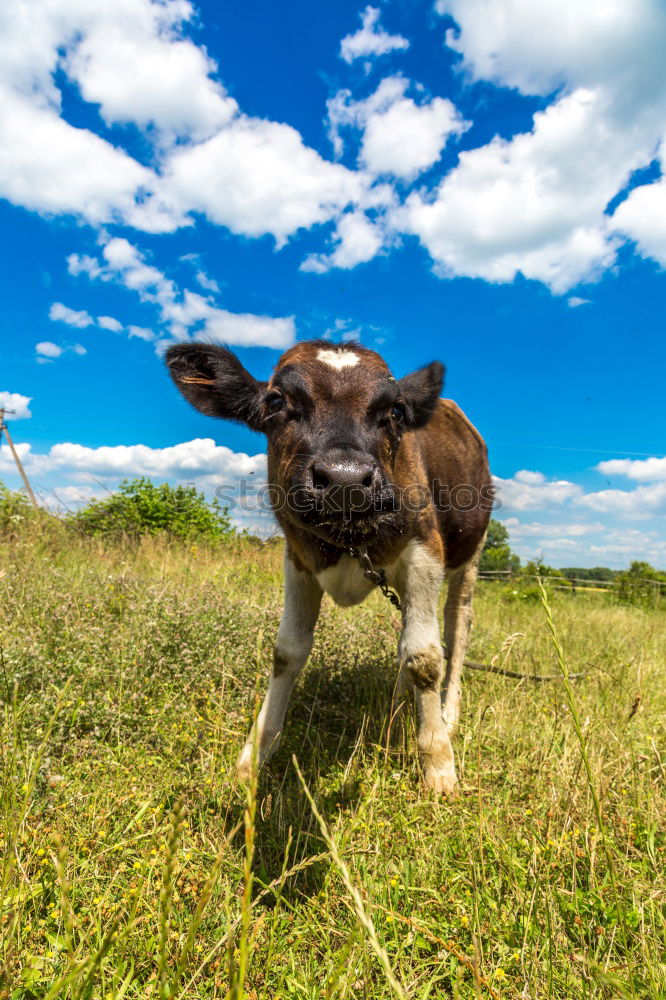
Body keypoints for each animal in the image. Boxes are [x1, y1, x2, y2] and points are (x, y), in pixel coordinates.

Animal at [165, 340, 488, 792]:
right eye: (276, 401)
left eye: (395, 411)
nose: (345, 480)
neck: (348, 543)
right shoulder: (298, 558)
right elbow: (287, 651)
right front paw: (254, 756)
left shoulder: (425, 549)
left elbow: (424, 655)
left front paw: (439, 765)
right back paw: (397, 704)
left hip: (469, 557)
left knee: (456, 629)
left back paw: (447, 713)